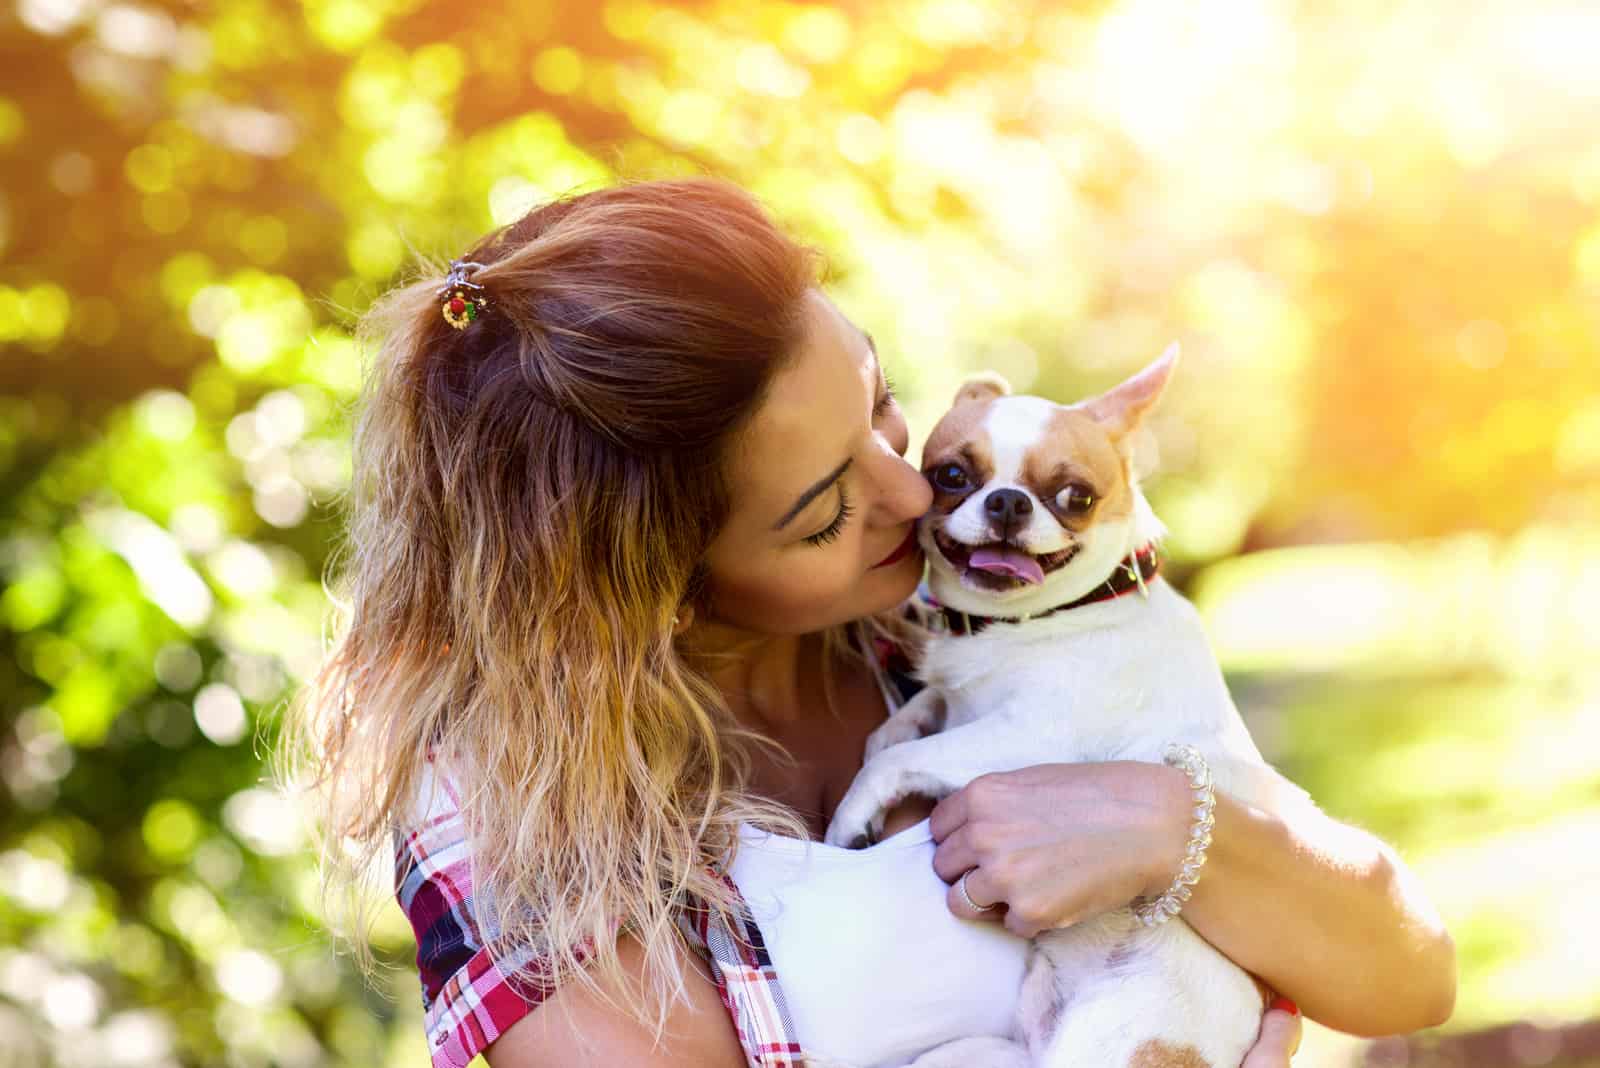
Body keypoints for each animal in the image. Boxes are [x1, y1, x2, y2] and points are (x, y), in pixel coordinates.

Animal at [825, 346, 1312, 1068]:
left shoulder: (1026, 738)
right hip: (967, 1054)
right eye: (950, 475)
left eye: (1075, 496)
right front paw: (890, 737)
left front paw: (852, 814)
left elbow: (899, 759)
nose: (1007, 501)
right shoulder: (961, 702)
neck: (1035, 622)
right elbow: (908, 724)